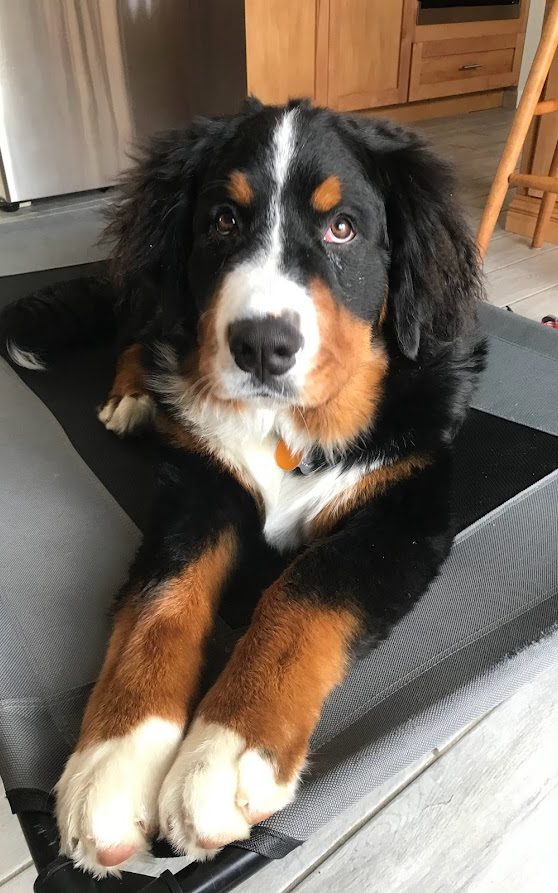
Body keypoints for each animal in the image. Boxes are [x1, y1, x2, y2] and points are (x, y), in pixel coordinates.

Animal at [1, 99, 486, 880]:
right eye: (224, 220)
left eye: (342, 227)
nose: (262, 345)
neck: (289, 429)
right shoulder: (198, 489)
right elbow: (160, 602)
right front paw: (115, 757)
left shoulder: (408, 505)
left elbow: (300, 595)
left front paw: (224, 754)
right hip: (159, 309)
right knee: (146, 331)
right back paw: (136, 395)